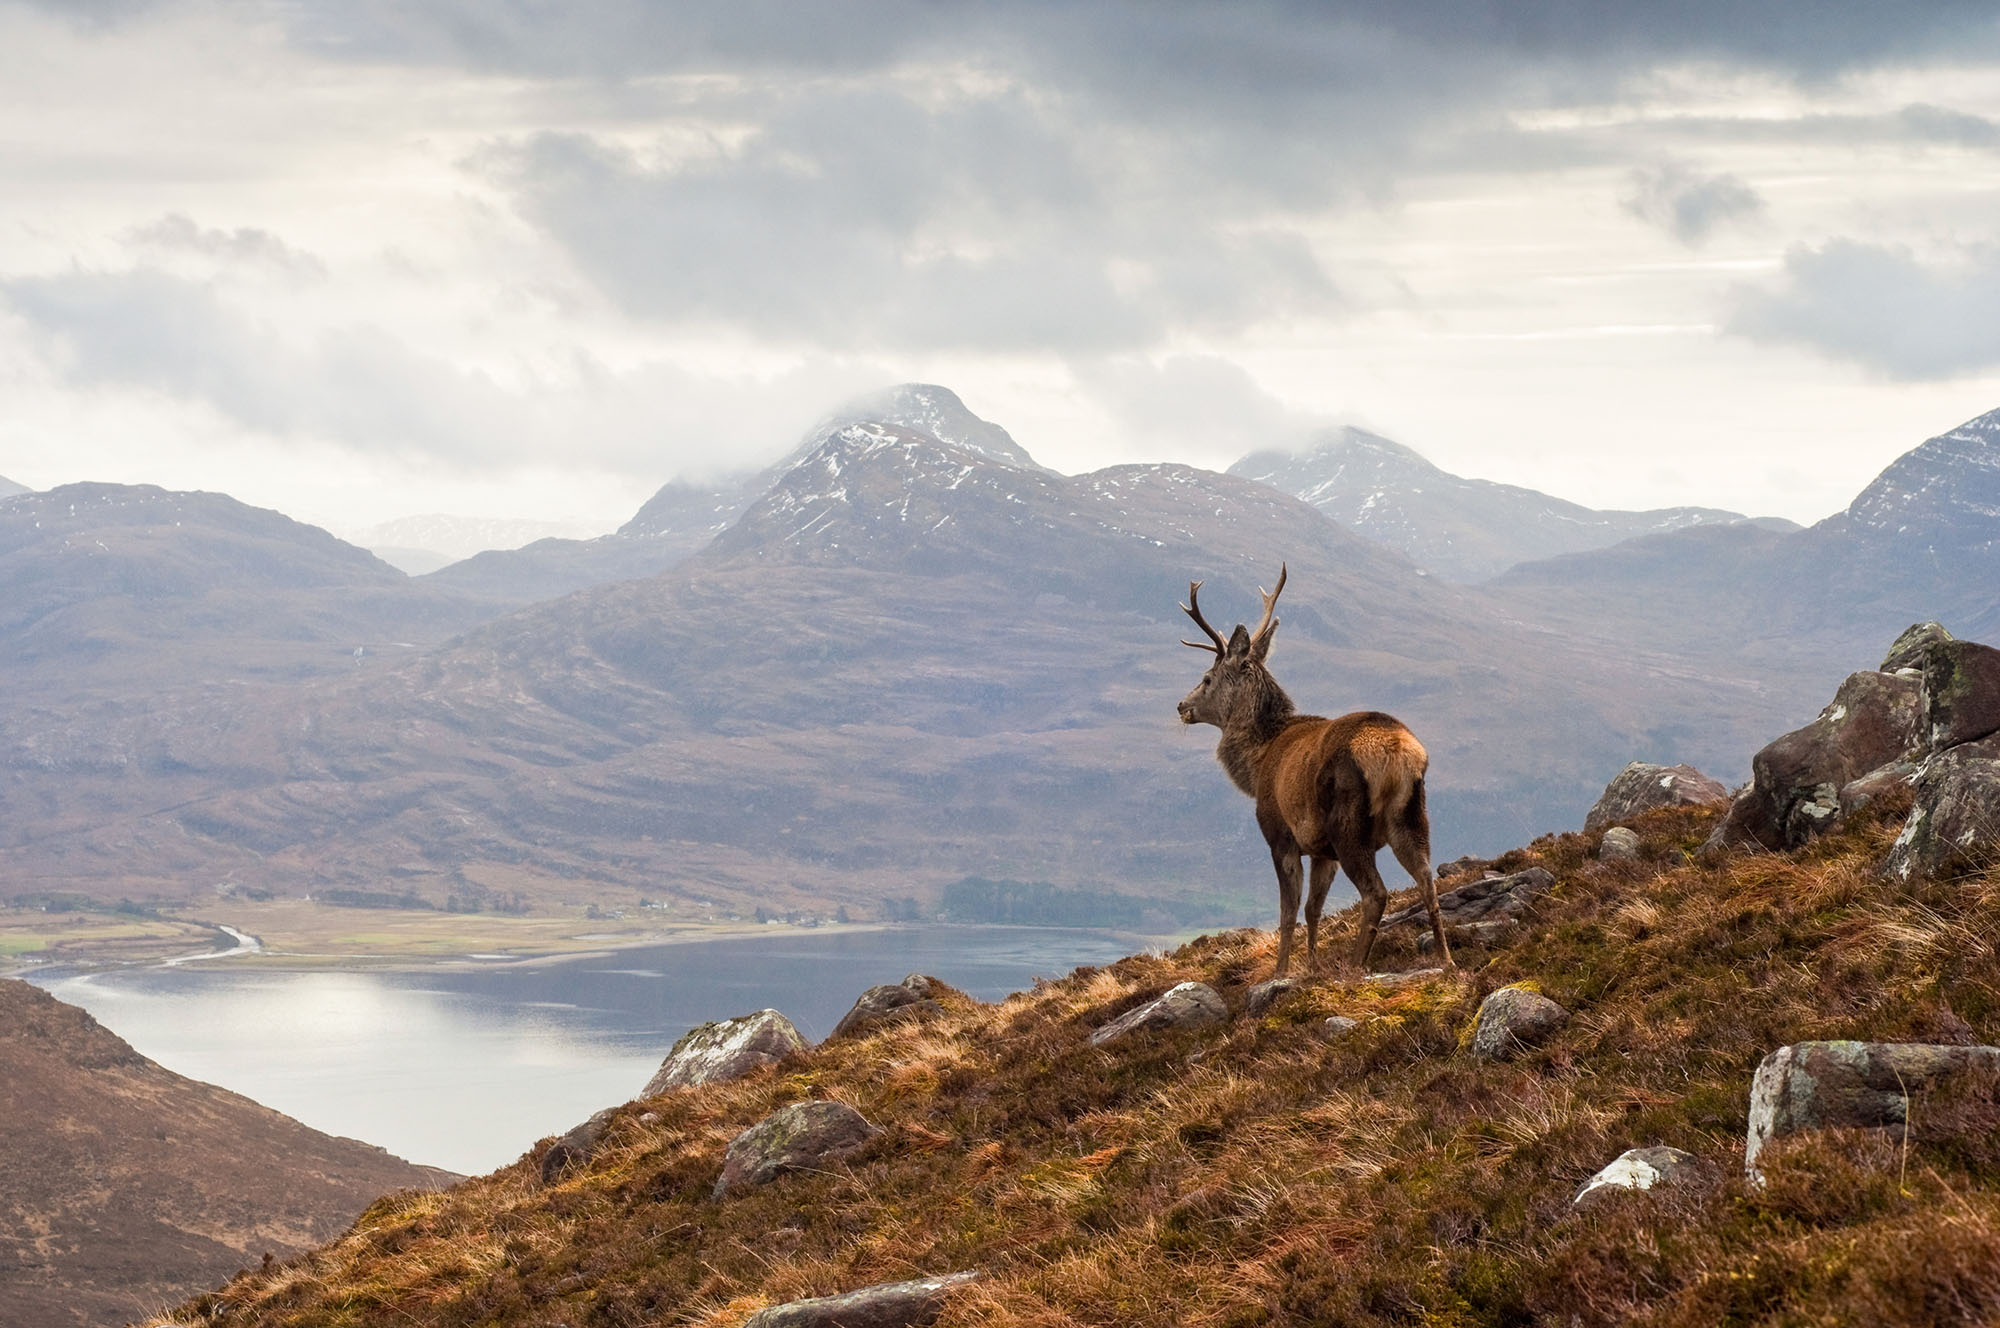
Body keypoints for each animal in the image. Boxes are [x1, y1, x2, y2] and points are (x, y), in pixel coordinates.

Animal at [1176, 565, 1453, 976]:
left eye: (1207, 678)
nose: (1182, 705)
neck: (1256, 765)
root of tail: (1398, 752)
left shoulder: (1280, 835)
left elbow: (1288, 911)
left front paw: (1281, 972)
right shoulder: (1323, 851)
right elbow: (1313, 909)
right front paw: (1311, 966)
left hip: (1348, 822)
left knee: (1376, 892)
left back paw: (1355, 965)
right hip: (1412, 815)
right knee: (1427, 879)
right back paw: (1446, 959)